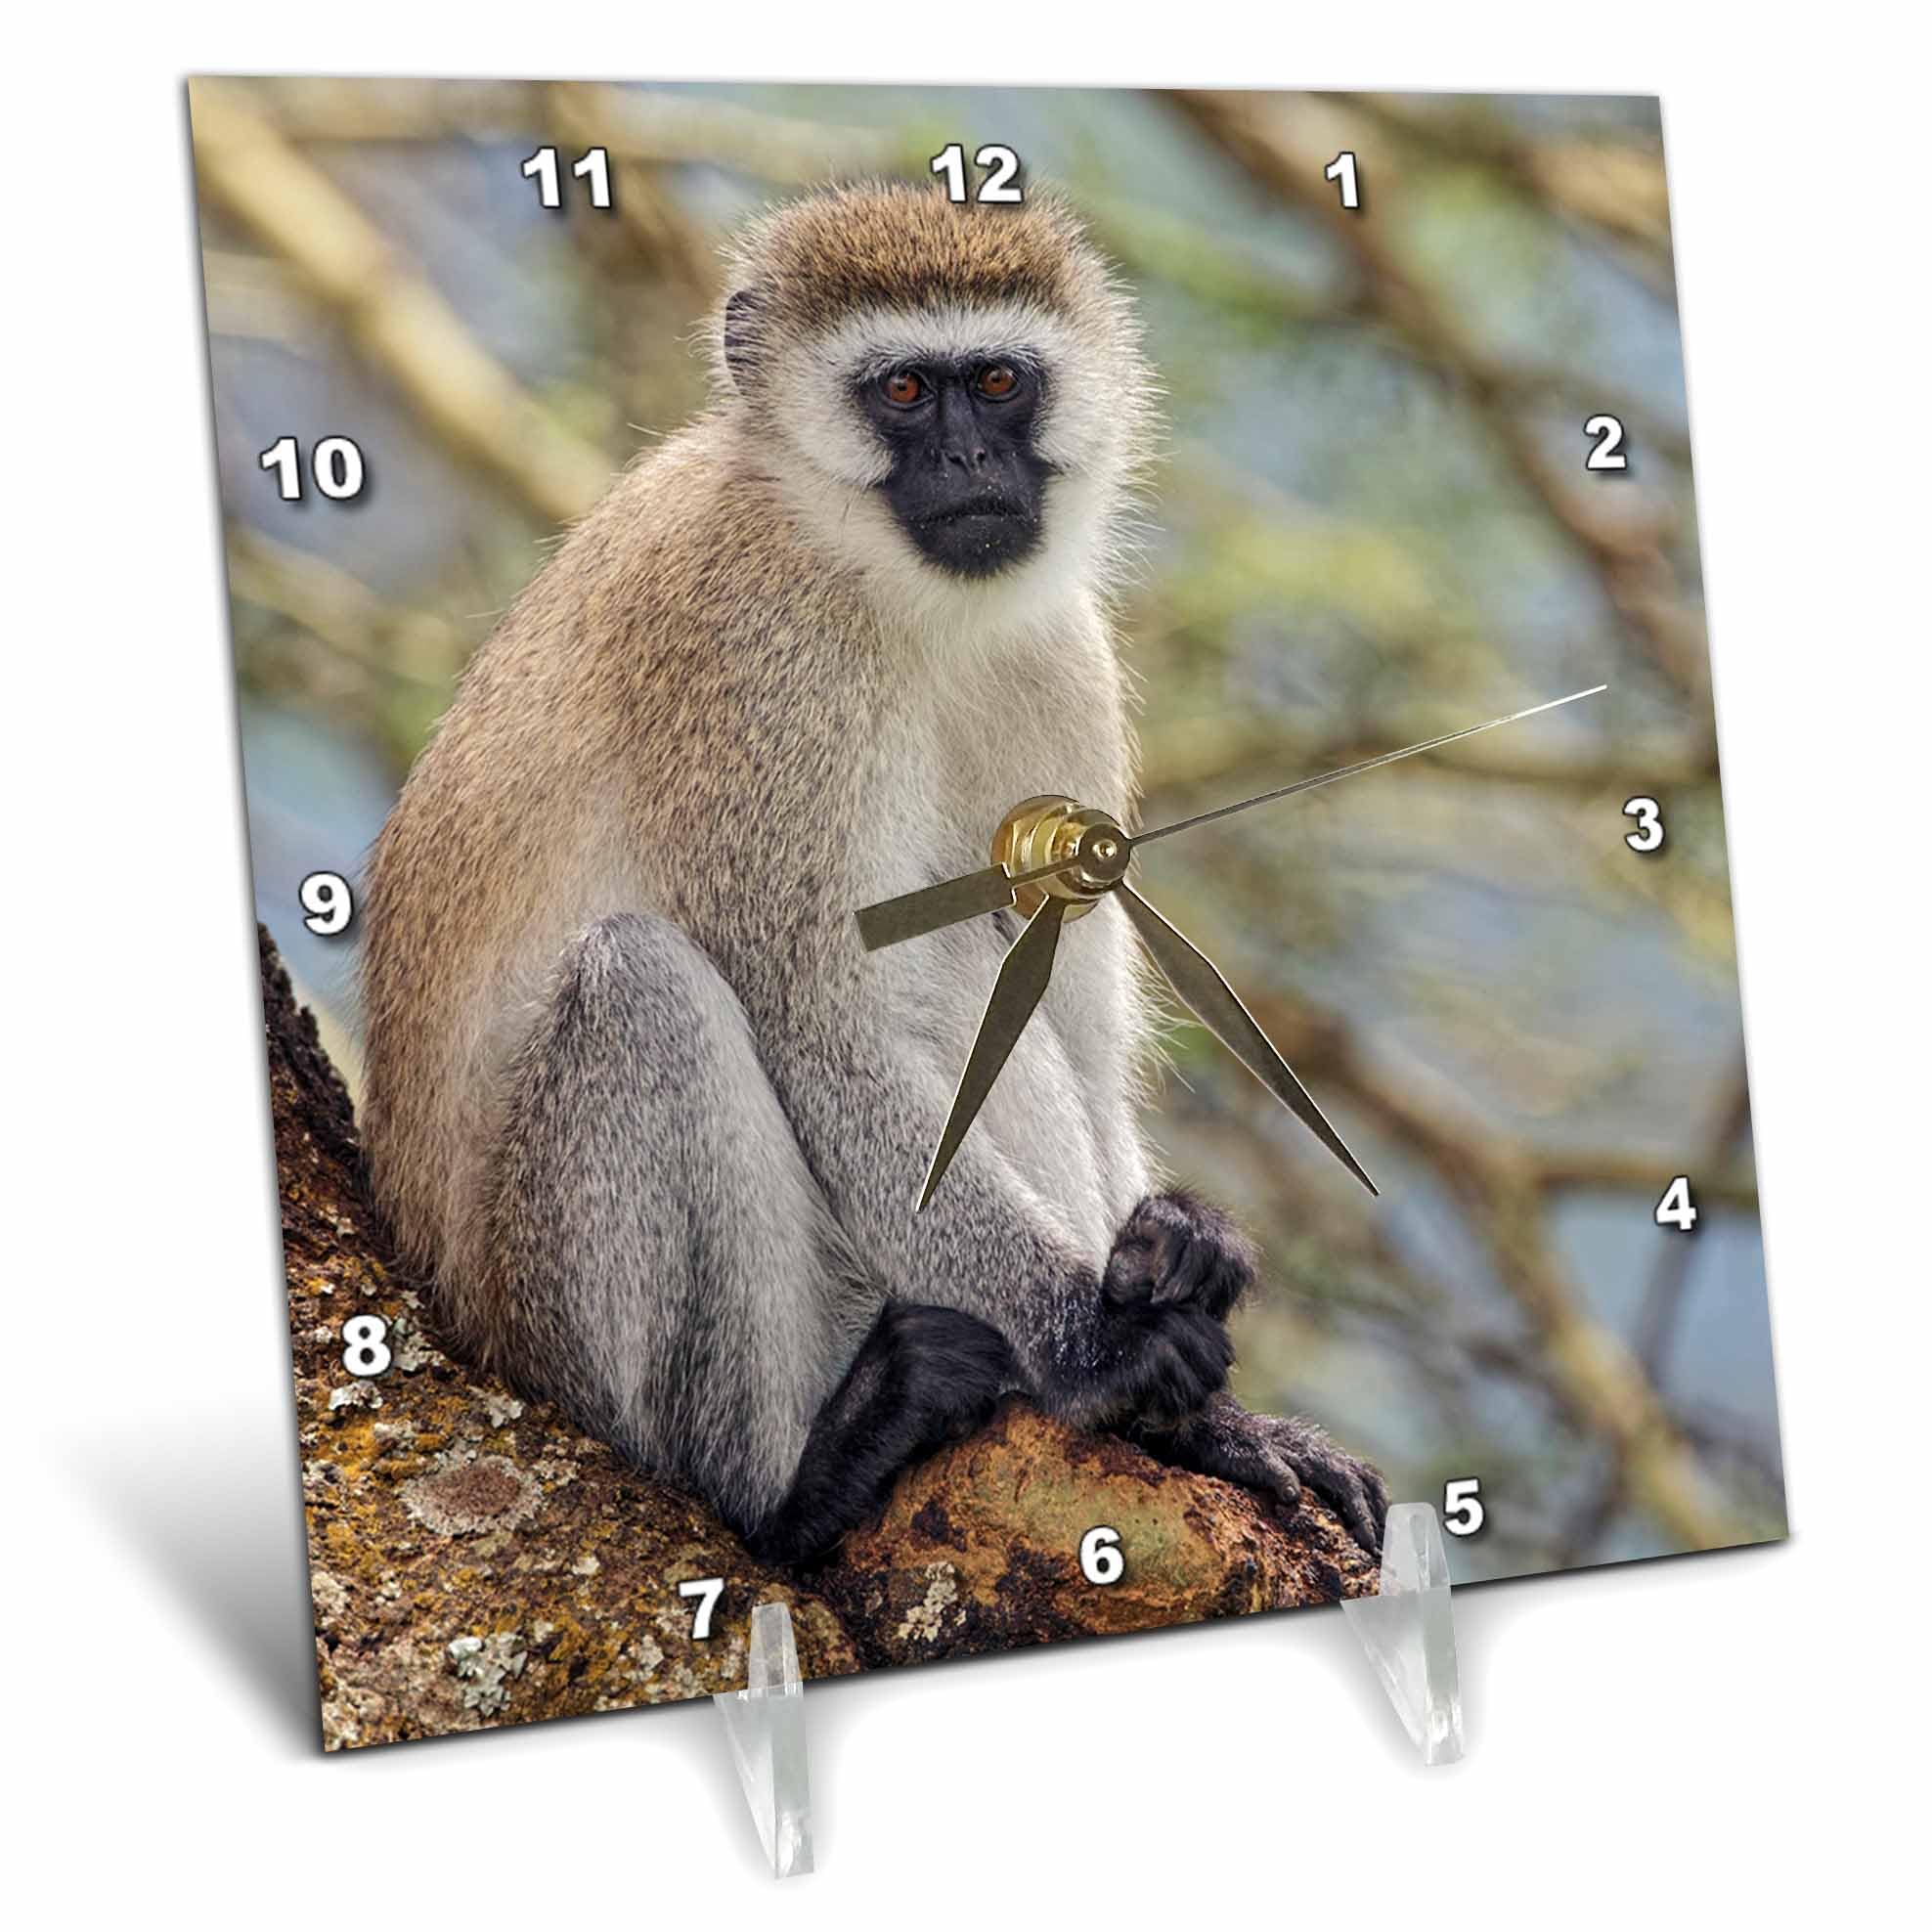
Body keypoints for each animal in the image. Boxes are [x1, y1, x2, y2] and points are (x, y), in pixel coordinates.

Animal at [358, 179, 1389, 1569]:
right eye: (902, 392)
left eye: (997, 380)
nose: (965, 464)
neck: (889, 593)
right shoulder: (758, 658)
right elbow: (817, 1022)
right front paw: (1100, 1347)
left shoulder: (1059, 656)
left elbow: (1073, 1017)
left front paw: (1186, 1304)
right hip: (555, 1323)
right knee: (649, 988)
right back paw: (796, 1483)